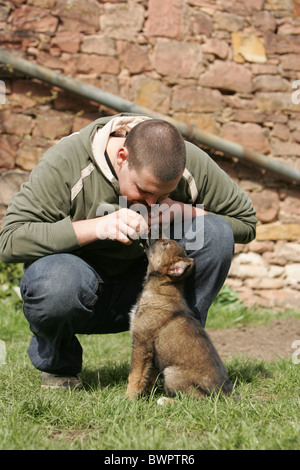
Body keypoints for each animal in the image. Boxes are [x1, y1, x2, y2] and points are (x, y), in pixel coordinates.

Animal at [126, 239, 234, 400]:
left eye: (165, 244)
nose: (150, 234)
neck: (162, 288)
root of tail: (226, 392)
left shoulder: (142, 344)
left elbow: (135, 375)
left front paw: (128, 398)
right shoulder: (153, 354)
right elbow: (148, 376)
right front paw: (145, 395)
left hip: (171, 372)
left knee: (196, 399)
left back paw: (165, 400)